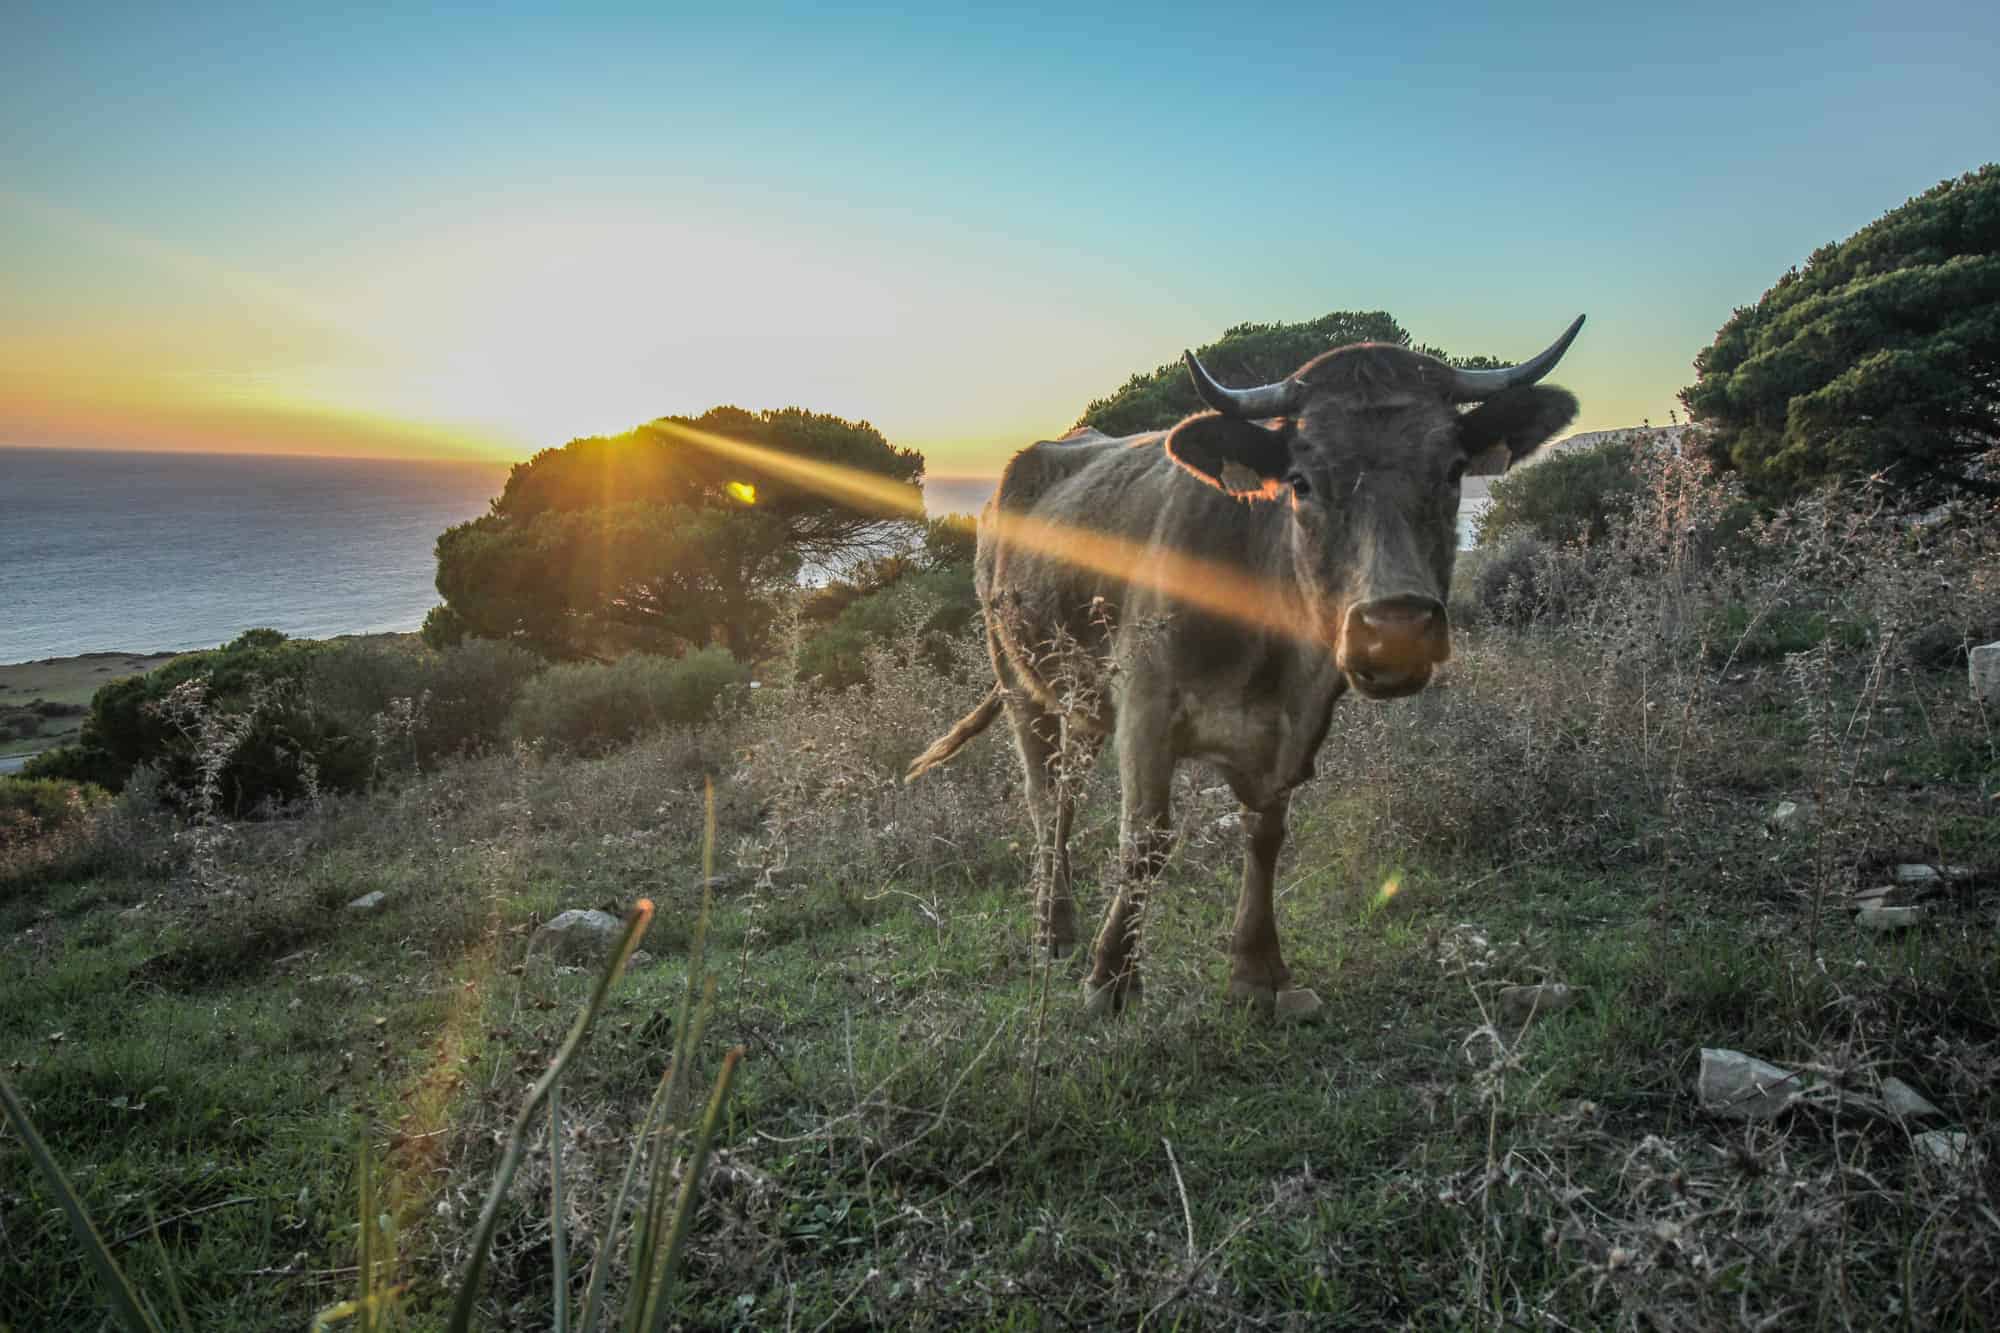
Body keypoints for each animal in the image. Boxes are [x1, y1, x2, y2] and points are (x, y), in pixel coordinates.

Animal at [904, 316, 1576, 1012]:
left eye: (1451, 471)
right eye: (1301, 482)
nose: (1394, 630)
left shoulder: (1298, 721)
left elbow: (1267, 832)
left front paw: (1260, 971)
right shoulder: (1146, 704)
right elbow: (1146, 838)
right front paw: (1111, 976)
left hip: (1082, 700)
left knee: (1066, 789)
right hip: (1018, 677)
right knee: (1046, 801)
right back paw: (1053, 928)